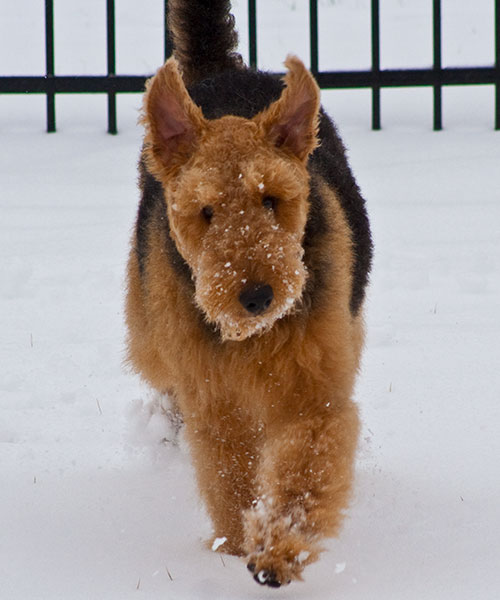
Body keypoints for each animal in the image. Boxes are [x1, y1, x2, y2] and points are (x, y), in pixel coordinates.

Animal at [126, 0, 372, 592]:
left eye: (271, 199)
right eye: (206, 211)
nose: (257, 296)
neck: (253, 340)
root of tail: (224, 70)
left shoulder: (314, 396)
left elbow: (304, 470)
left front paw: (277, 550)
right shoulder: (217, 405)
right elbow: (230, 479)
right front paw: (236, 548)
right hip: (148, 333)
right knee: (162, 381)